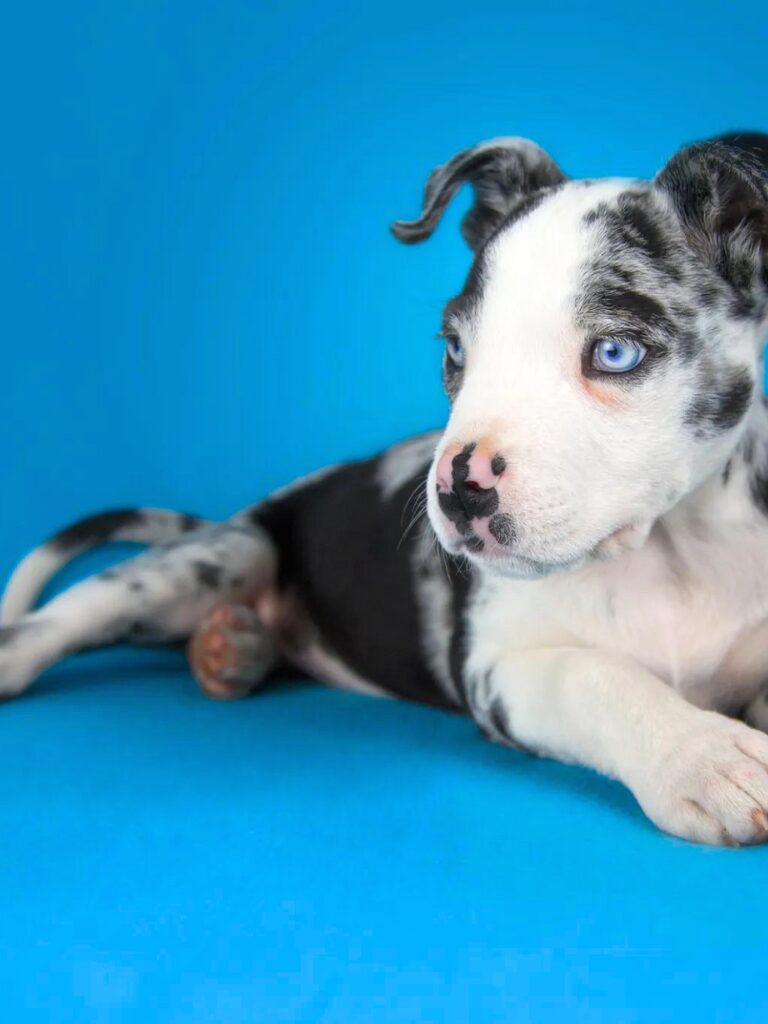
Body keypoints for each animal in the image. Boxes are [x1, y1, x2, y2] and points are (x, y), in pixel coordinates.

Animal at [4, 130, 768, 847]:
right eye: (455, 350)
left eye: (614, 352)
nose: (459, 489)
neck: (670, 554)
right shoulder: (498, 669)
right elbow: (597, 679)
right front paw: (701, 756)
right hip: (216, 560)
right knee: (61, 620)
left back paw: (233, 648)